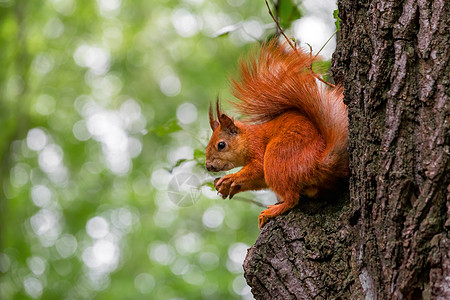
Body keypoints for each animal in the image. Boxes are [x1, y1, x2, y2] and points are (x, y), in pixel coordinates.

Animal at [204, 41, 348, 229]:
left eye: (221, 145)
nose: (208, 166)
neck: (248, 138)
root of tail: (317, 162)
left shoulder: (258, 149)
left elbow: (257, 168)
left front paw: (231, 178)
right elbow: (258, 180)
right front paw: (229, 186)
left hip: (276, 157)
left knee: (292, 199)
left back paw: (272, 211)